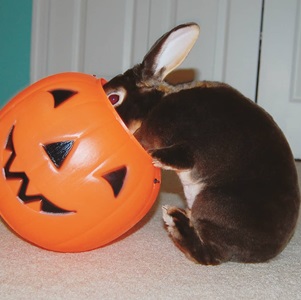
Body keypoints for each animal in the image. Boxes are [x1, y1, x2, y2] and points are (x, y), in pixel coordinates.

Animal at [102, 22, 298, 264]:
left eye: (113, 98)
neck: (154, 106)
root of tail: (266, 253)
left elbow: (184, 157)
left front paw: (156, 157)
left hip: (215, 201)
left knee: (208, 254)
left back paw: (174, 218)